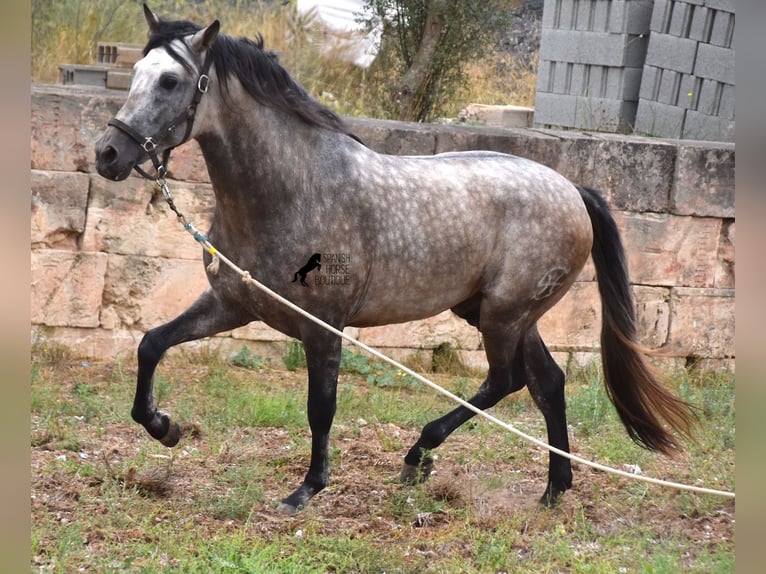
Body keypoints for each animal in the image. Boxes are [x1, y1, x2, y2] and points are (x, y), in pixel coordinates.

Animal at [93, 3, 700, 516]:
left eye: (171, 81)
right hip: (498, 313)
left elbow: (321, 407)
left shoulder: (324, 327)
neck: (295, 189)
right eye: (136, 72)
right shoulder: (232, 304)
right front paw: (164, 427)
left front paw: (306, 491)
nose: (108, 154)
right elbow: (151, 344)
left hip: (504, 315)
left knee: (506, 381)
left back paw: (419, 457)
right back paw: (553, 489)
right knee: (547, 382)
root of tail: (573, 189)